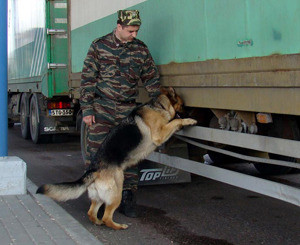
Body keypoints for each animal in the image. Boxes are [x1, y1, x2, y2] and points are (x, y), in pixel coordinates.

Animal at [37, 87, 197, 230]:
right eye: (183, 105)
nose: (191, 112)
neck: (159, 106)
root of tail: (94, 170)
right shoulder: (159, 135)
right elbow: (175, 122)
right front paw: (188, 120)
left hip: (100, 197)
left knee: (91, 213)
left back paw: (98, 222)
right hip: (116, 191)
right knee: (107, 217)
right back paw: (118, 226)